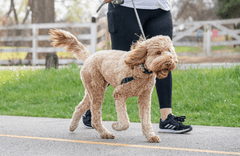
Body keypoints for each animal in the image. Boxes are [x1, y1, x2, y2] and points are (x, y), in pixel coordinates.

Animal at [49, 28, 177, 143]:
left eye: (169, 51)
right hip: (97, 90)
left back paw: (73, 126)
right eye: (158, 52)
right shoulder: (119, 93)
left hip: (94, 90)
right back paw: (105, 133)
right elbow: (125, 122)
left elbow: (146, 120)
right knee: (95, 118)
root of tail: (89, 57)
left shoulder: (144, 98)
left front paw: (150, 136)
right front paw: (116, 126)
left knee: (80, 107)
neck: (141, 69)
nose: (169, 62)